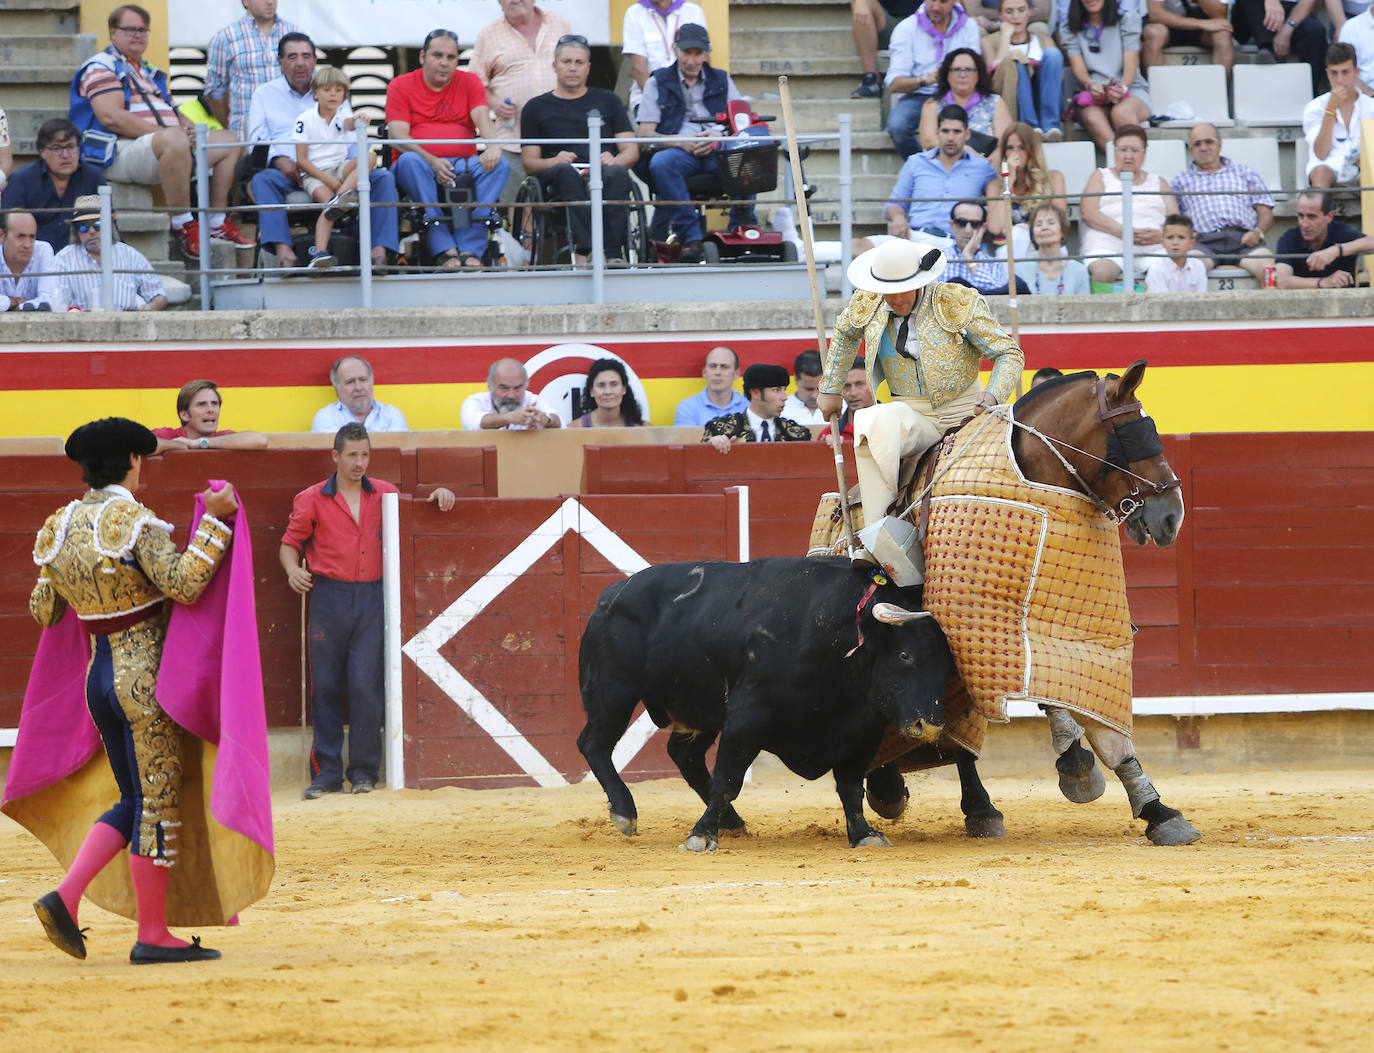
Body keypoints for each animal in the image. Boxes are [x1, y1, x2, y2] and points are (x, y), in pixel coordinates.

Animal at [574, 560, 972, 846]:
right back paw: (625, 811)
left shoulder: (862, 731)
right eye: (905, 655)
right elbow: (728, 779)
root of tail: (612, 593)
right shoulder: (746, 718)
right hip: (614, 691)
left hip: (698, 709)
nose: (929, 725)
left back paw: (731, 821)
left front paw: (864, 835)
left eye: (948, 666)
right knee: (593, 743)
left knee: (683, 755)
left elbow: (849, 786)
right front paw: (701, 835)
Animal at [868, 362, 1203, 846]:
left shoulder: (1081, 643)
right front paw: (1078, 767)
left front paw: (1156, 811)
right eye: (1129, 436)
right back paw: (934, 797)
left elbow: (1095, 720)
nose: (1173, 516)